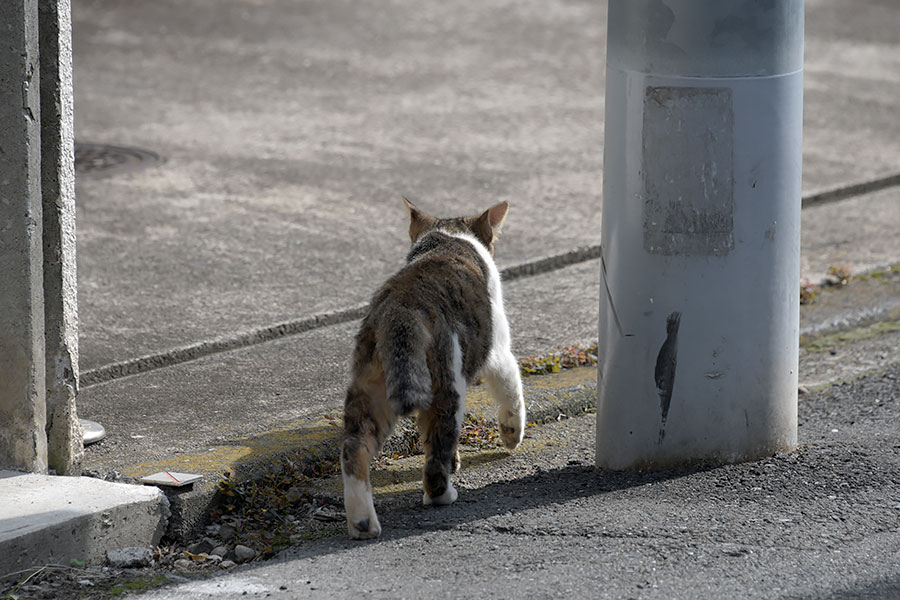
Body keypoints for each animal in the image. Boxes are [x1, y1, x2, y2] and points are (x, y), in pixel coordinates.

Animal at [342, 197, 528, 540]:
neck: (448, 237)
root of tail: (401, 308)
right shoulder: (497, 350)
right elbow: (512, 390)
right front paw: (511, 436)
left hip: (370, 387)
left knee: (354, 448)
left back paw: (363, 524)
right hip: (447, 382)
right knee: (438, 448)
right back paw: (442, 494)